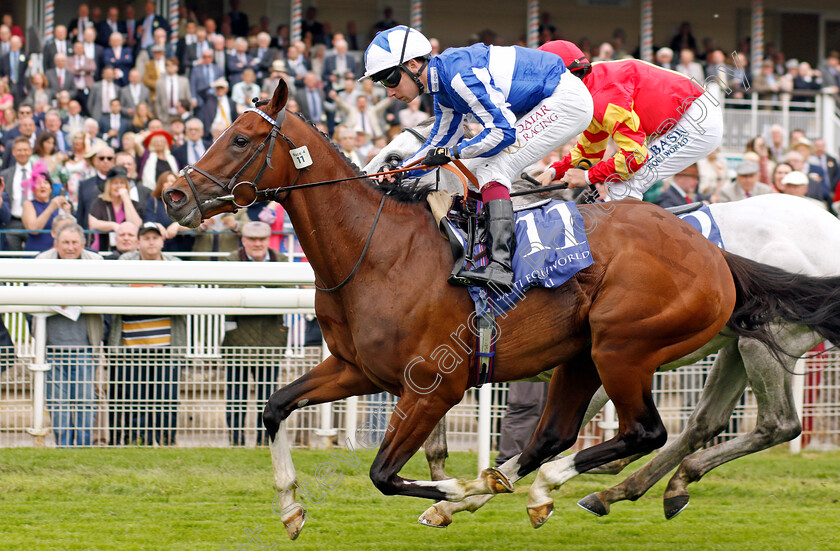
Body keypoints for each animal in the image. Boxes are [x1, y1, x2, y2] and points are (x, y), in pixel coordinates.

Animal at [164, 82, 840, 540]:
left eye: (242, 139)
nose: (173, 194)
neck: (376, 250)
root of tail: (715, 255)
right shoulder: (356, 369)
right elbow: (275, 409)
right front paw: (290, 507)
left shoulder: (433, 386)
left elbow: (384, 473)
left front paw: (455, 489)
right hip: (589, 354)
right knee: (581, 431)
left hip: (627, 346)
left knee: (652, 430)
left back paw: (553, 488)